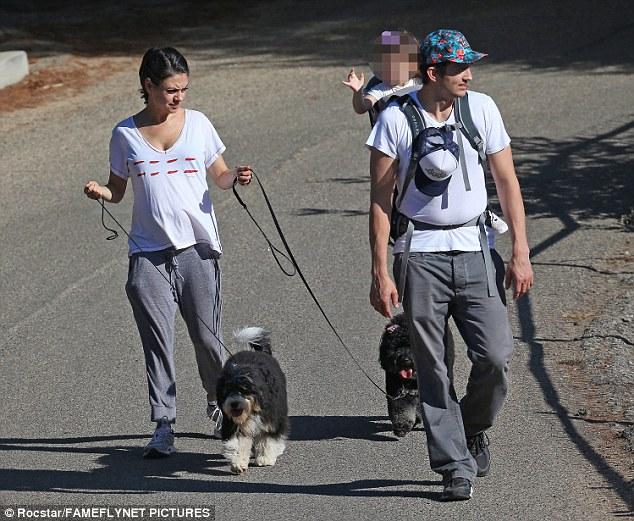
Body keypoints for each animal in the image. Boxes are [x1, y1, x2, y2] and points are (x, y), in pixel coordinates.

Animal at [216, 327, 288, 474]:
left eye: (243, 390)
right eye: (227, 391)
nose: (234, 403)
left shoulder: (271, 418)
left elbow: (269, 438)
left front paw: (265, 458)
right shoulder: (233, 423)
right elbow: (238, 444)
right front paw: (238, 463)